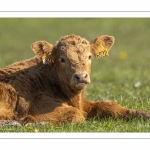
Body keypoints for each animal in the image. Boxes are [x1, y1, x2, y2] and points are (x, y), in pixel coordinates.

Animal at [0, 34, 150, 125]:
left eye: (89, 56)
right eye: (62, 59)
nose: (81, 76)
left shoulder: (83, 103)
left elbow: (107, 104)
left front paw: (142, 114)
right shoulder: (38, 105)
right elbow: (76, 114)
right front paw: (32, 121)